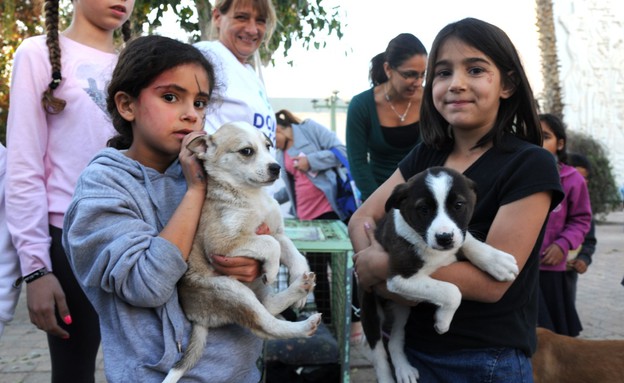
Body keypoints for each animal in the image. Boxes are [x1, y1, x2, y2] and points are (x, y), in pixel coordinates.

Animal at [163, 123, 320, 383]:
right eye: (247, 151)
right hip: (231, 290)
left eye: (268, 146)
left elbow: (292, 252)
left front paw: (299, 281)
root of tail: (196, 318)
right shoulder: (223, 243)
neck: (251, 195)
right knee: (265, 325)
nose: (276, 168)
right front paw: (274, 270)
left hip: (253, 289)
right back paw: (305, 325)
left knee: (268, 306)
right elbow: (270, 245)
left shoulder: (276, 230)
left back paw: (300, 287)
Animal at [358, 167, 520, 383]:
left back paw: (404, 369)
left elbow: (467, 239)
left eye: (458, 205)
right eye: (423, 209)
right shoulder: (399, 277)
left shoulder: (457, 238)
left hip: (402, 307)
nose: (444, 238)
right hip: (370, 308)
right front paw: (442, 321)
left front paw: (497, 261)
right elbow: (452, 291)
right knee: (379, 355)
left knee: (394, 340)